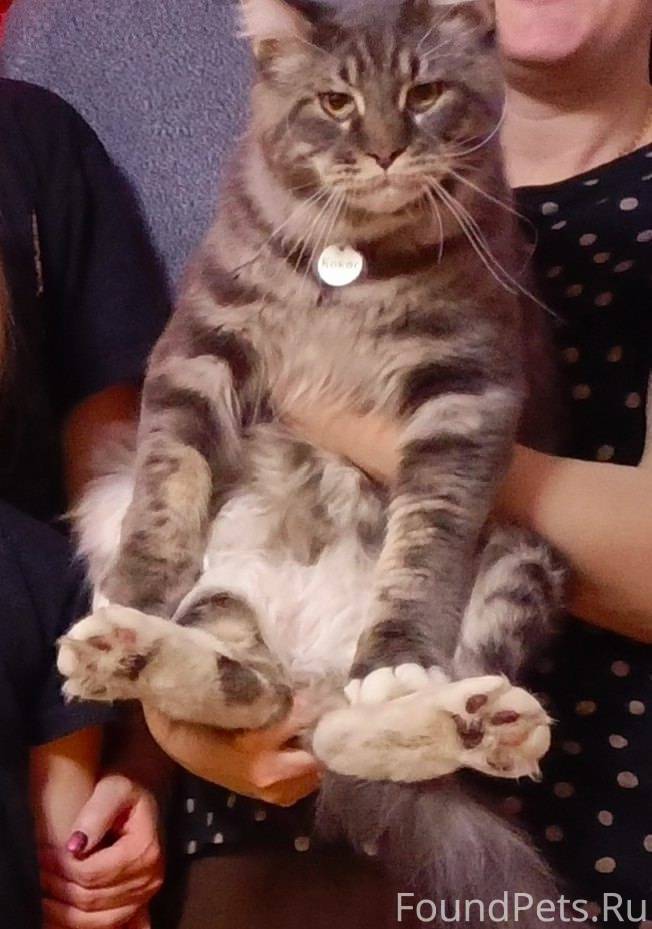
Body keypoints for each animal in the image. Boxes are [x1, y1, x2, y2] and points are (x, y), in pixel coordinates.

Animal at [58, 0, 571, 924]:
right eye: (336, 102)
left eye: (424, 93)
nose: (385, 150)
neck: (355, 266)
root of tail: (315, 662)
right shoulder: (200, 345)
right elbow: (170, 487)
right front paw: (136, 591)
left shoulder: (467, 390)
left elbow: (420, 546)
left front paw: (396, 651)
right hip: (161, 543)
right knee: (247, 686)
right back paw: (126, 647)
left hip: (524, 560)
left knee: (357, 728)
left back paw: (476, 718)